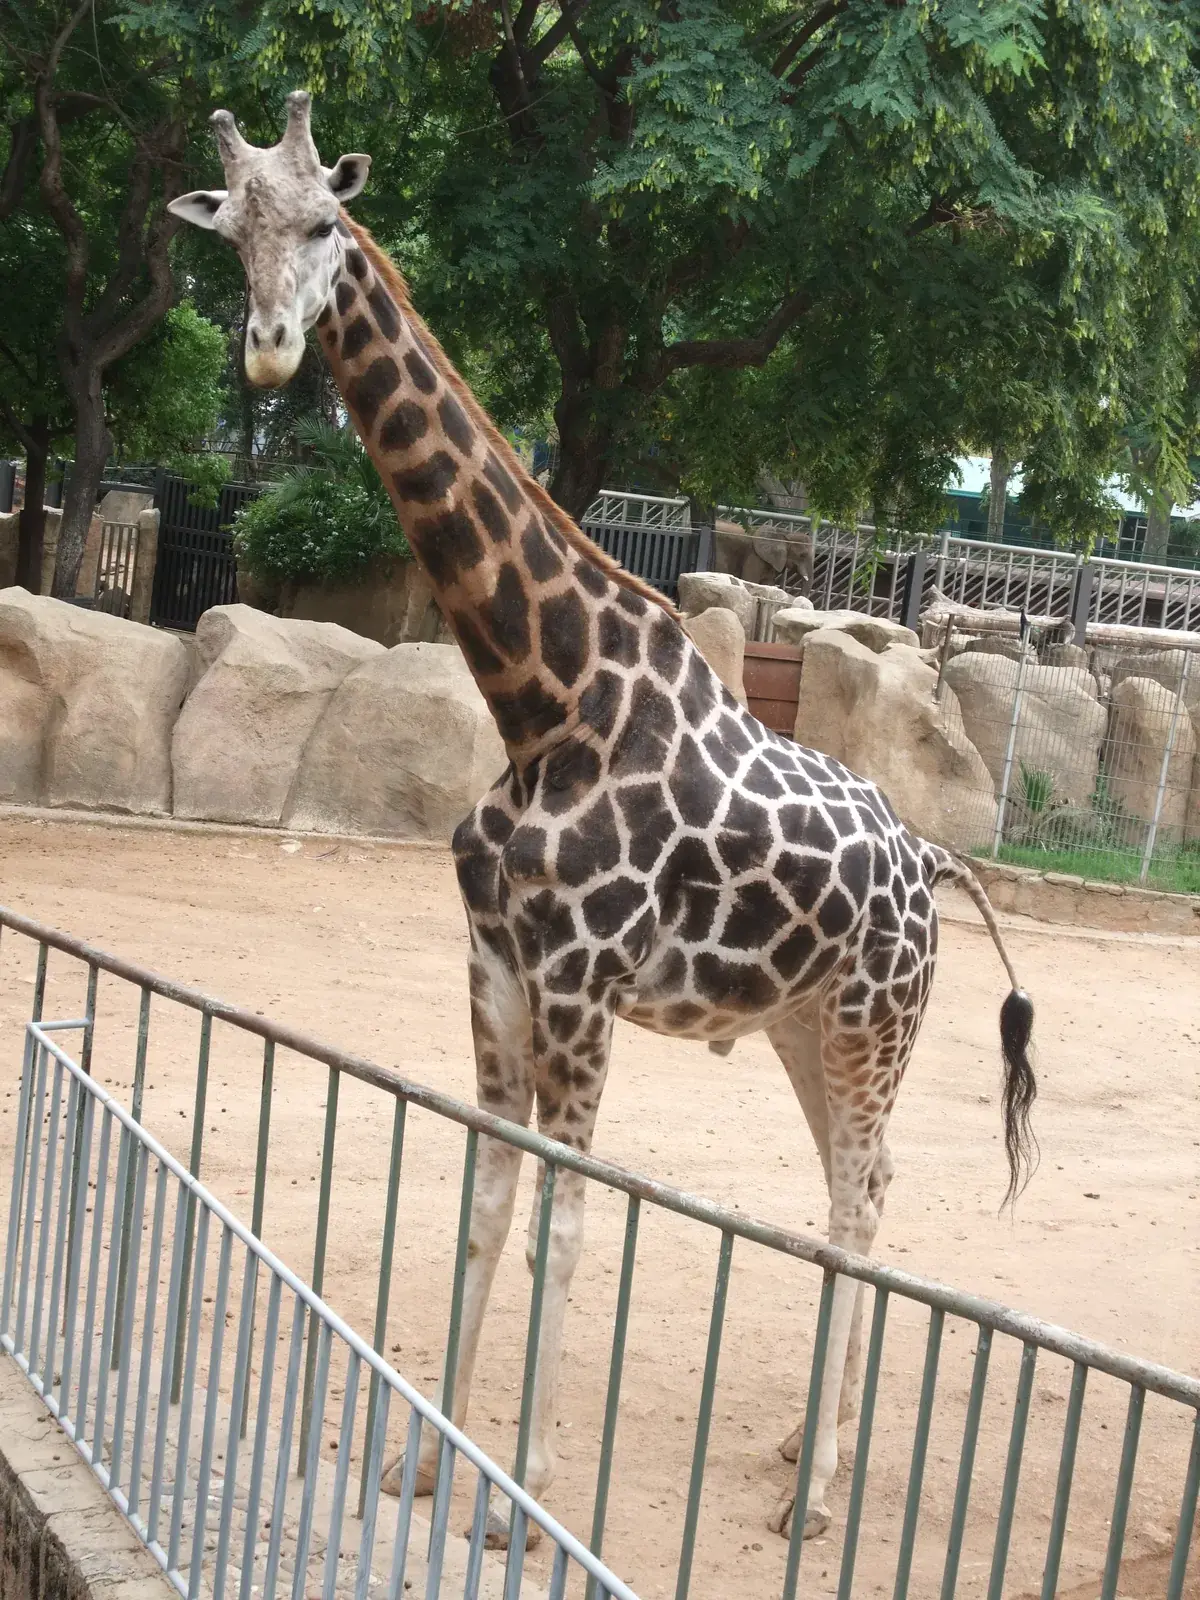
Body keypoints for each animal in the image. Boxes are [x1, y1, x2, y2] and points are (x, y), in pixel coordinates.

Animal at [170, 92, 1038, 1544]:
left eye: (330, 221)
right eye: (230, 231)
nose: (271, 348)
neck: (544, 697)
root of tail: (929, 860)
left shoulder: (582, 980)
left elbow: (571, 1211)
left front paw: (518, 1503)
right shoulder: (494, 963)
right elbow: (488, 1192)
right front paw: (422, 1462)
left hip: (877, 1023)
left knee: (863, 1195)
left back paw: (815, 1497)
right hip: (805, 1023)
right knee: (856, 1187)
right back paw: (807, 1452)